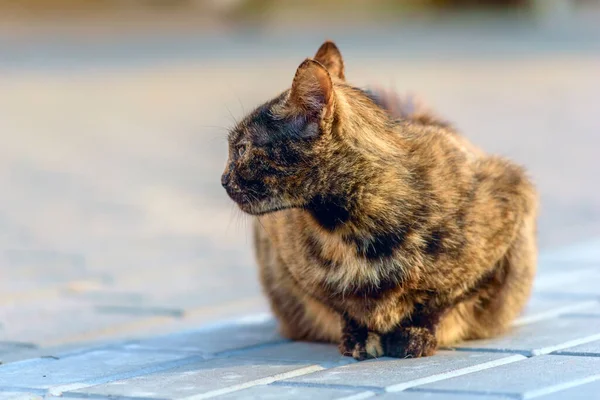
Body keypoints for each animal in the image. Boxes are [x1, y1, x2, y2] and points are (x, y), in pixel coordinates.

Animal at [221, 41, 540, 360]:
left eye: (242, 148)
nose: (223, 179)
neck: (352, 229)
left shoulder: (509, 202)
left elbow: (441, 299)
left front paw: (415, 336)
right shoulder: (291, 262)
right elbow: (341, 305)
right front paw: (359, 337)